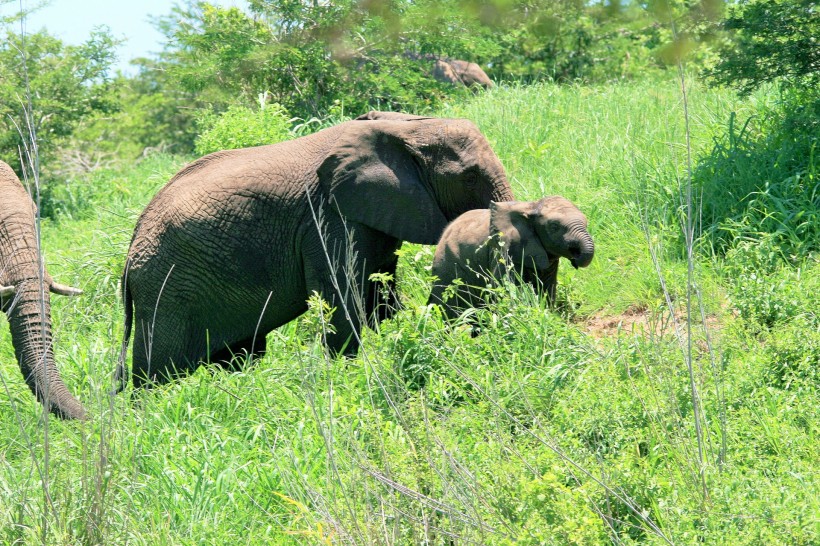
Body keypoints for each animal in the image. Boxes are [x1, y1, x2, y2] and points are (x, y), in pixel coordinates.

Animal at [117, 108, 512, 384]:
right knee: (158, 370)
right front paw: (346, 374)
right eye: (469, 177)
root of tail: (131, 248)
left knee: (239, 353)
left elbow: (379, 296)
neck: (405, 126)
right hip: (166, 288)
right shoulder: (327, 217)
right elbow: (345, 299)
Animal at [426, 196, 592, 318]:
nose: (576, 255)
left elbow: (546, 288)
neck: (531, 206)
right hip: (446, 269)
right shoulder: (502, 250)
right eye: (554, 227)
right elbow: (504, 288)